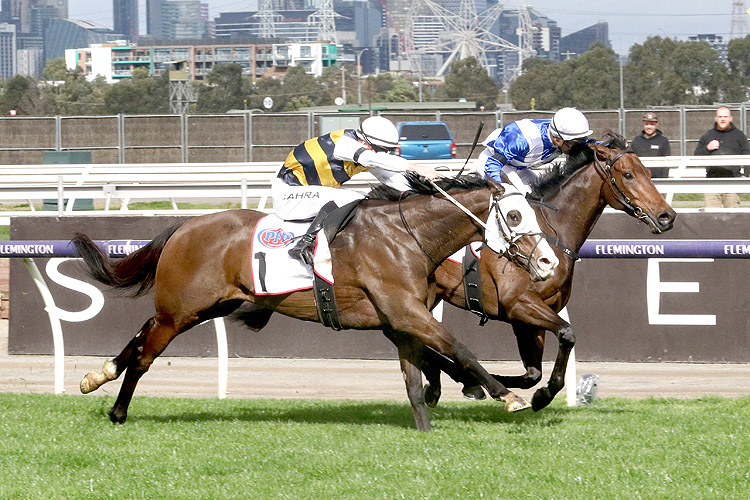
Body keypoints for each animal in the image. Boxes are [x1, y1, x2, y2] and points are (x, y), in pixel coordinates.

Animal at [73, 174, 560, 432]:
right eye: (514, 215)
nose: (548, 261)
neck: (407, 237)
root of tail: (184, 227)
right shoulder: (406, 311)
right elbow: (461, 350)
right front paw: (508, 397)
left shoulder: (401, 318)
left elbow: (414, 378)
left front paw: (425, 428)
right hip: (180, 311)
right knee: (145, 355)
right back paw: (117, 410)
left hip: (205, 307)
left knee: (141, 336)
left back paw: (98, 376)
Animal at [426, 134, 680, 410]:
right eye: (628, 174)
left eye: (648, 172)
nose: (667, 216)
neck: (551, 231)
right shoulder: (518, 303)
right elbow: (567, 334)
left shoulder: (531, 317)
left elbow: (533, 374)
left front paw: (539, 394)